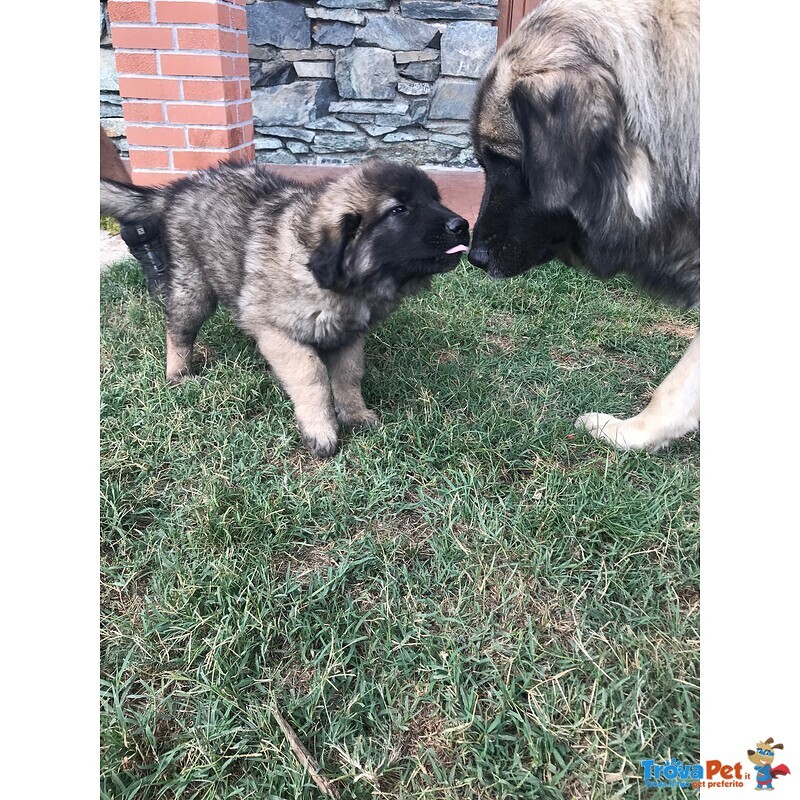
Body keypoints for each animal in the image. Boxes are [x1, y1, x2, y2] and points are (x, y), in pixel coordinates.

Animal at [103, 161, 472, 456]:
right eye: (398, 210)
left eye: (435, 199)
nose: (463, 225)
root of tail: (178, 188)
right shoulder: (275, 329)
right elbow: (312, 374)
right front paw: (320, 429)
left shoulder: (349, 334)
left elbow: (348, 374)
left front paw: (354, 414)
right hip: (193, 286)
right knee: (178, 328)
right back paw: (178, 372)